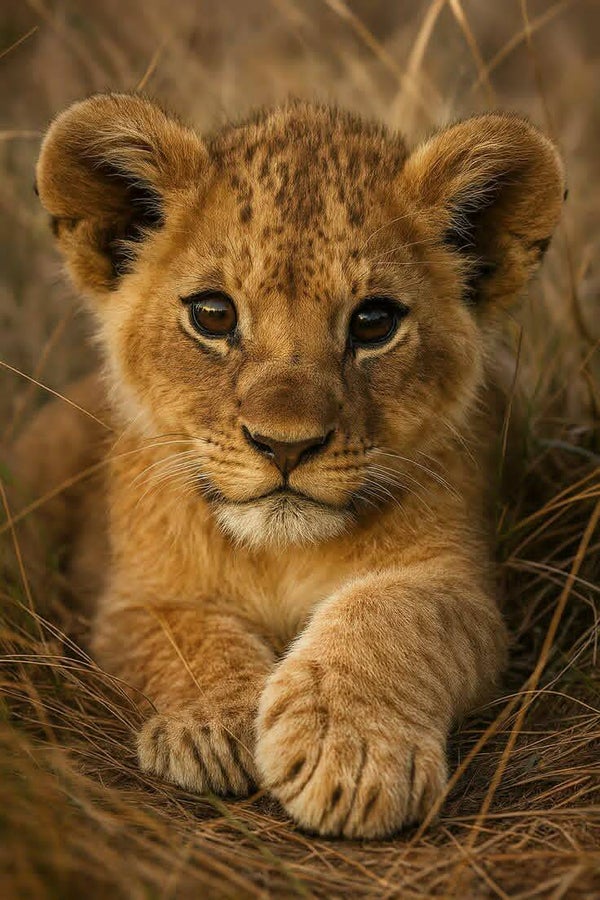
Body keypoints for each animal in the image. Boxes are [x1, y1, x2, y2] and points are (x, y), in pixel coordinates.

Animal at [14, 93, 564, 838]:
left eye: (373, 322)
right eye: (213, 315)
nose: (285, 446)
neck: (277, 555)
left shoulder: (461, 584)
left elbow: (395, 616)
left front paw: (349, 753)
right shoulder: (130, 598)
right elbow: (183, 636)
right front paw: (213, 728)